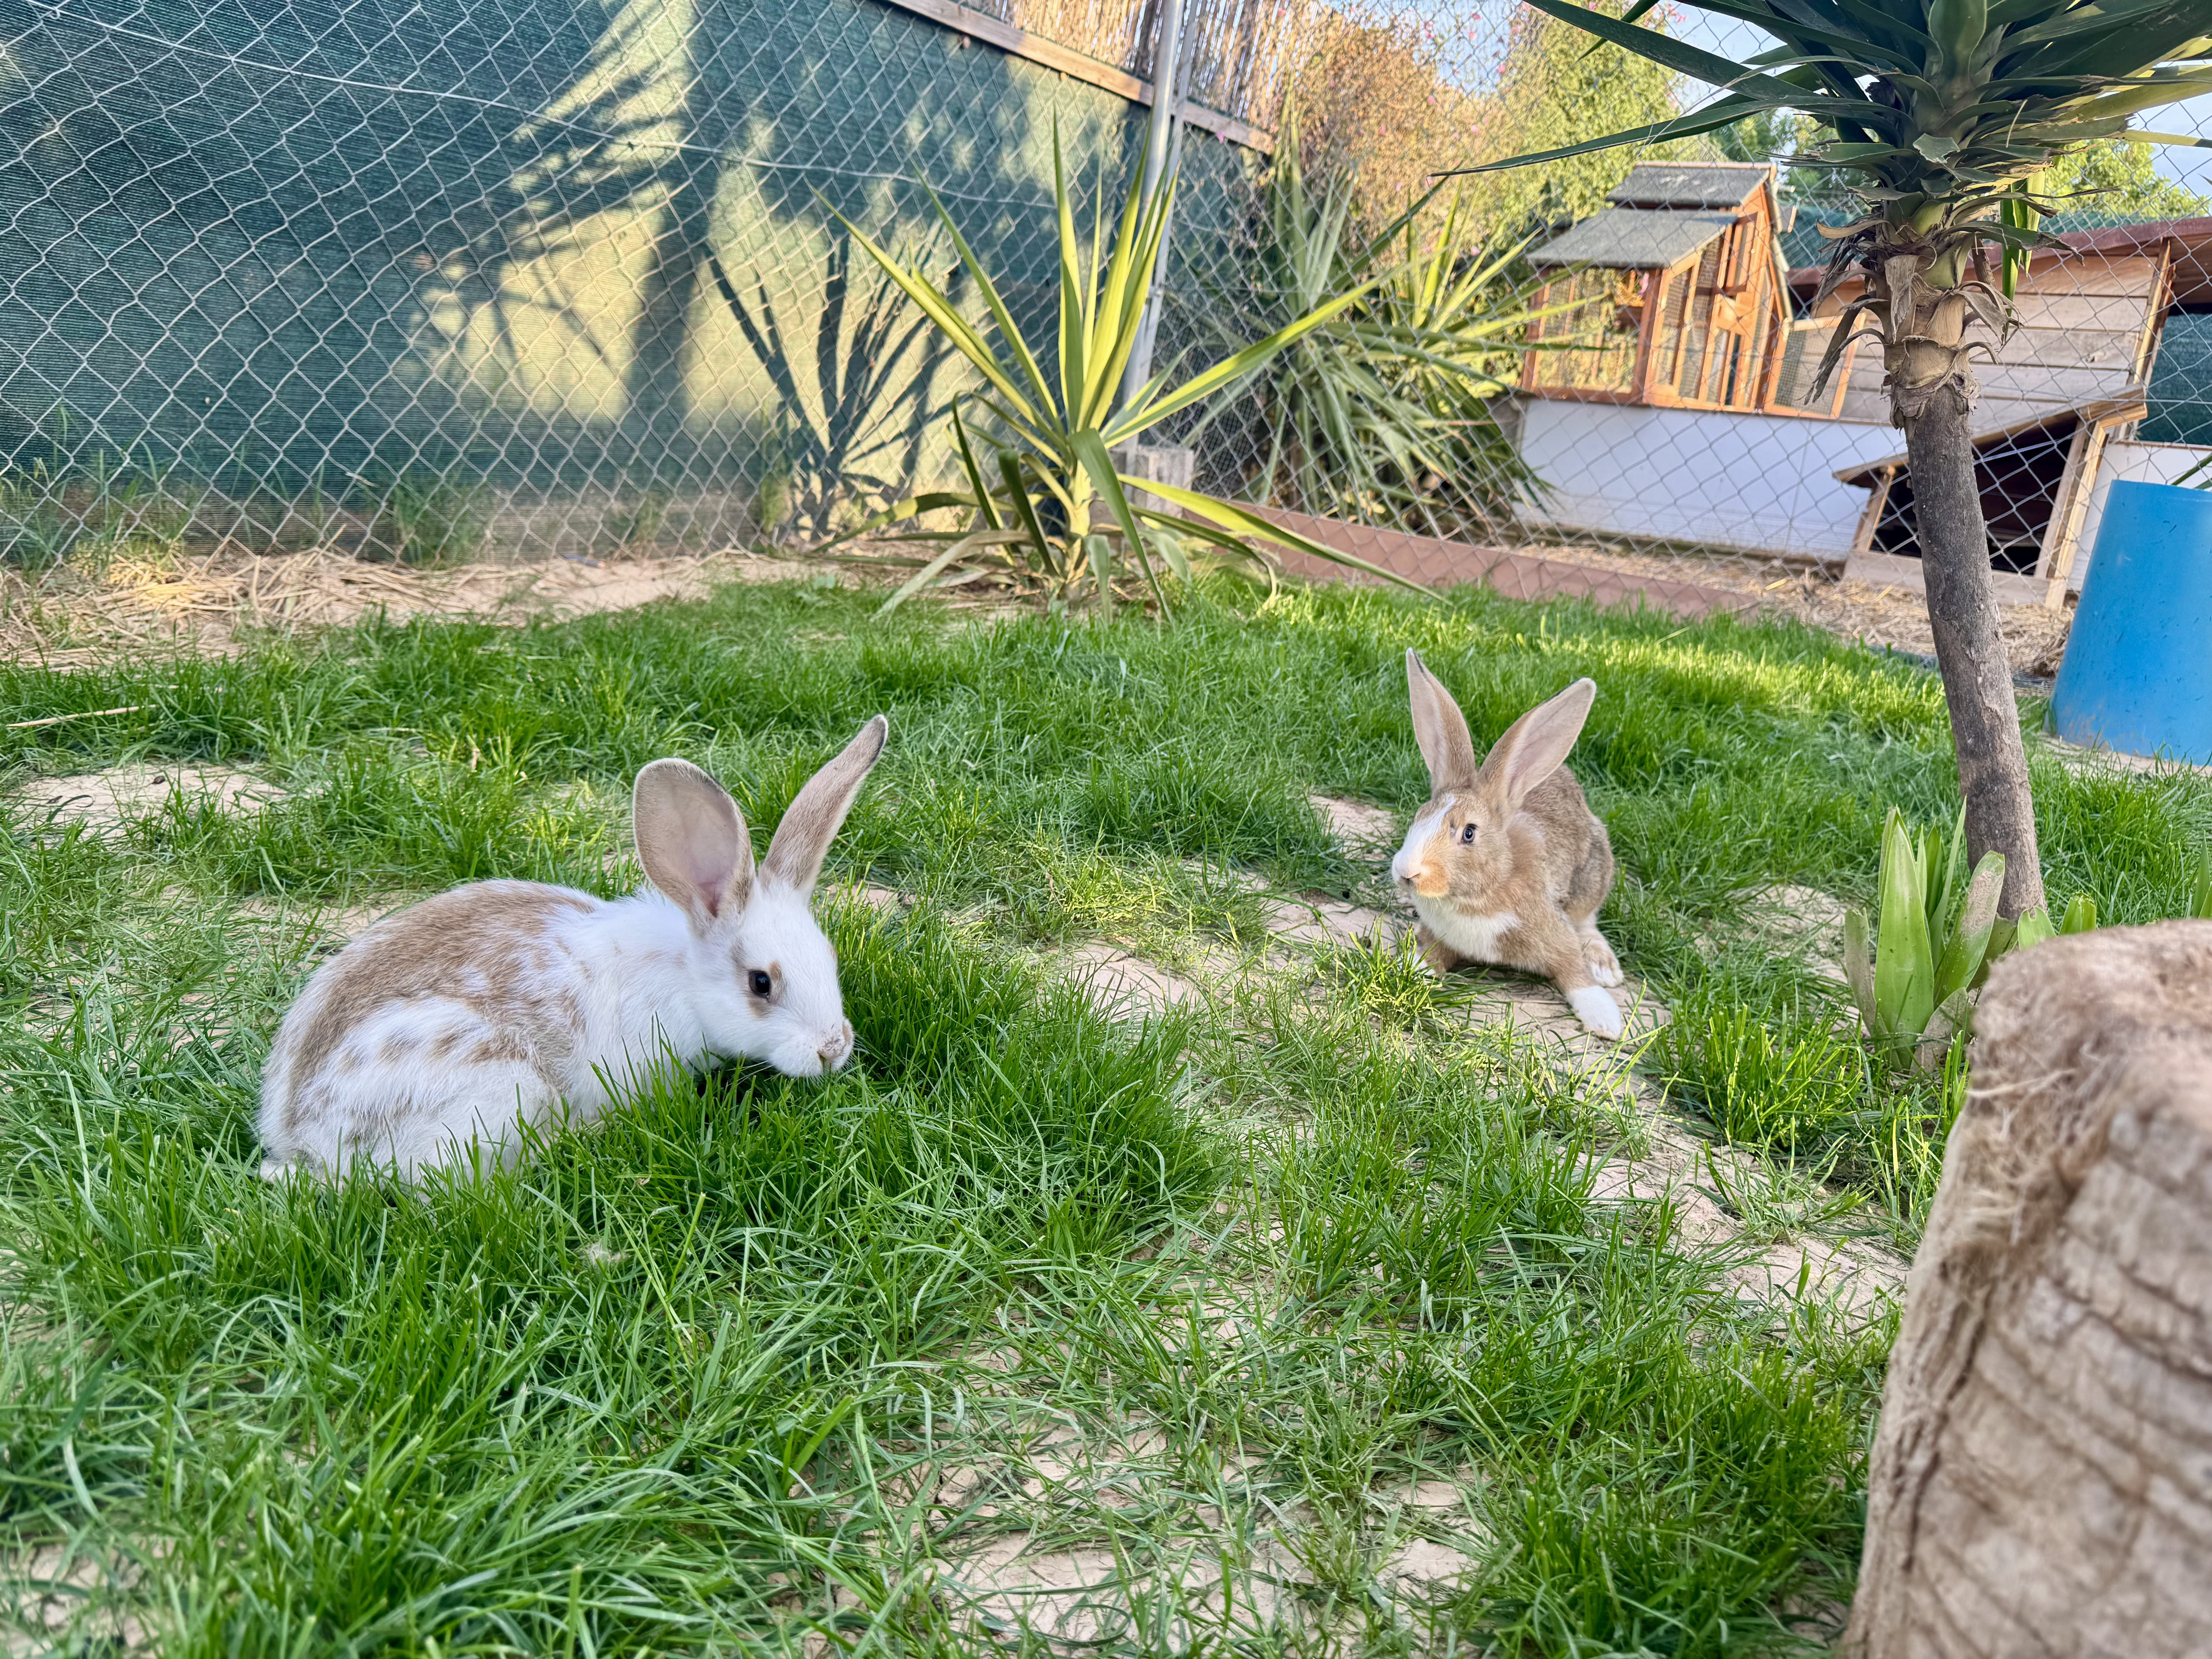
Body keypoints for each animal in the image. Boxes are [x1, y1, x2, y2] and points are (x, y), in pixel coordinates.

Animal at [258, 717, 888, 1182]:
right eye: (761, 982)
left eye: (831, 959)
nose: (833, 1050)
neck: (682, 979)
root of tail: (299, 1141)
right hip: (499, 1092)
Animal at [1388, 651, 1625, 1038]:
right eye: (1418, 816)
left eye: (1469, 833)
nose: (1406, 871)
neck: (1478, 896)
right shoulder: (1440, 937)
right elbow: (1428, 957)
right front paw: (1409, 969)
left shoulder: (1556, 934)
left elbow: (1574, 971)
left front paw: (1606, 1021)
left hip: (1594, 874)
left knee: (1589, 922)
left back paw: (1605, 968)